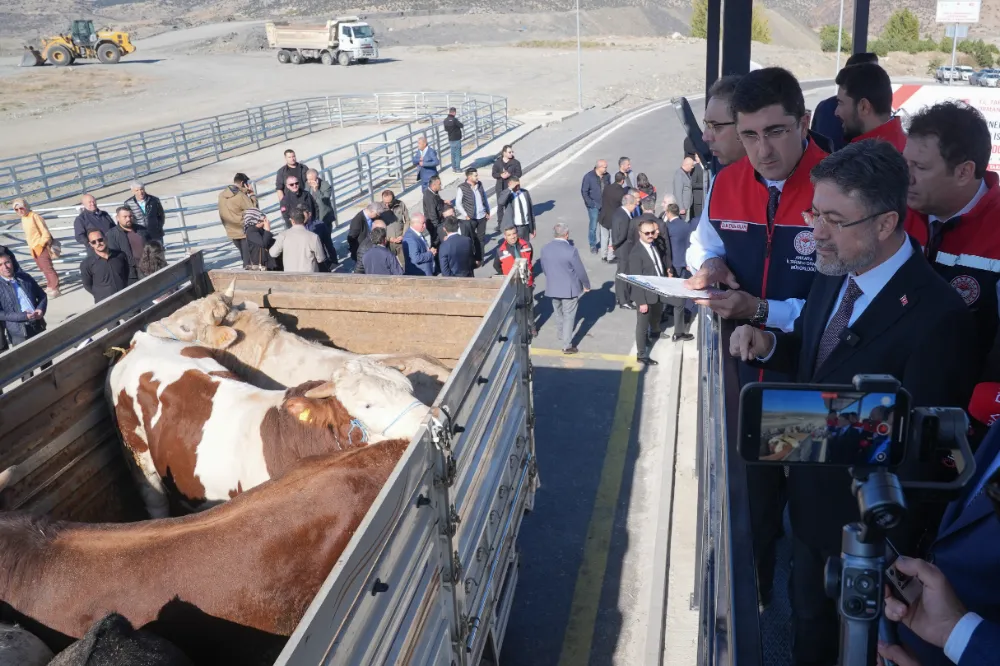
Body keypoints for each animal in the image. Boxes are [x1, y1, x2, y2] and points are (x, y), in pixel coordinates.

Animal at [110, 330, 430, 512]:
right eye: (367, 404)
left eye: (408, 388)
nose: (432, 418)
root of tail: (141, 340)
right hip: (138, 455)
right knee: (155, 500)